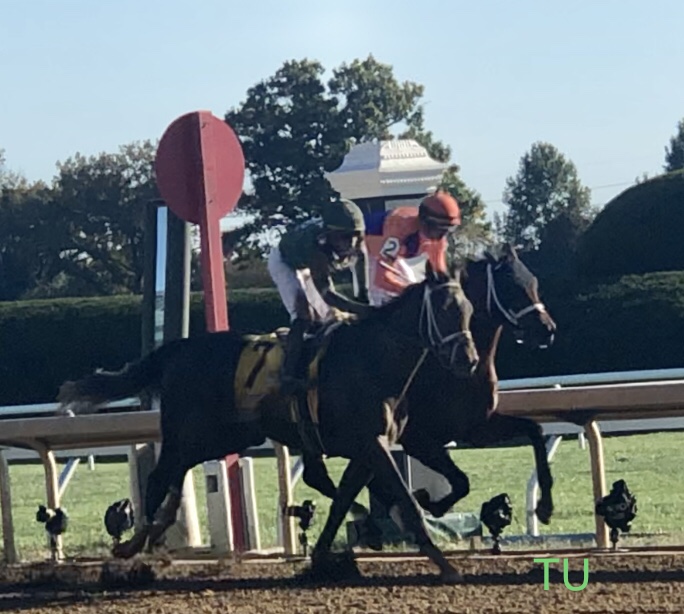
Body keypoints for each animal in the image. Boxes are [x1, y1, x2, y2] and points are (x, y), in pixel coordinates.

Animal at [58, 262, 478, 584]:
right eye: (444, 310)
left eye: (469, 311)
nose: (469, 359)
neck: (373, 360)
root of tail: (177, 349)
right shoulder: (369, 442)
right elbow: (403, 500)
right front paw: (444, 563)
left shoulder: (370, 445)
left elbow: (350, 496)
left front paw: (330, 552)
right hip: (190, 434)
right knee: (160, 478)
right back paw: (136, 543)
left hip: (218, 436)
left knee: (175, 478)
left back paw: (151, 536)